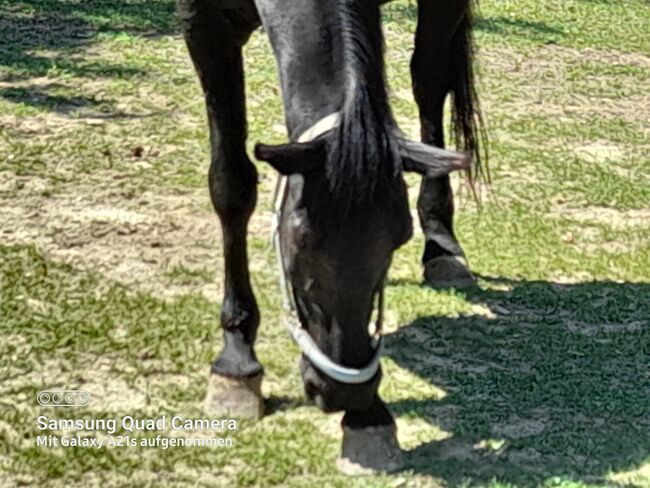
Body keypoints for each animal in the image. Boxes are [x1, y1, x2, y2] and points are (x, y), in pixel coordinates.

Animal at [177, 0, 480, 472]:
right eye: (298, 243)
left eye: (398, 239)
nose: (345, 391)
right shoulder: (206, 29)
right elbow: (231, 185)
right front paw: (237, 360)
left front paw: (368, 417)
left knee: (428, 79)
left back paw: (442, 247)